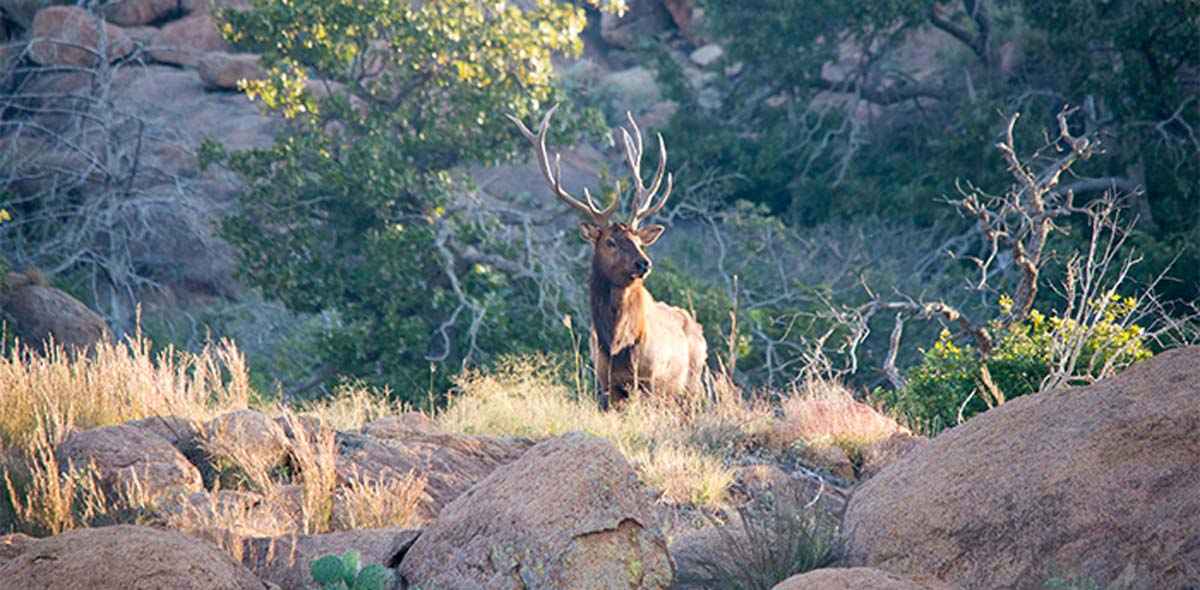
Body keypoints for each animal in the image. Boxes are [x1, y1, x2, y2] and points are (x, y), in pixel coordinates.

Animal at [508, 106, 707, 408]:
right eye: (610, 242)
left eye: (639, 241)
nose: (644, 263)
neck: (616, 344)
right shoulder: (604, 382)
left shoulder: (648, 378)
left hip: (691, 387)